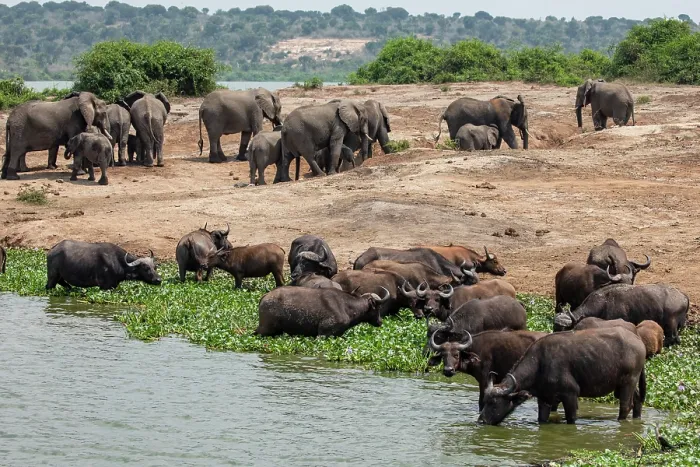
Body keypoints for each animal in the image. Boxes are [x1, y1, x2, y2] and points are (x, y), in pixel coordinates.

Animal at [255, 286, 390, 337]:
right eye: (378, 308)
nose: (380, 321)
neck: (346, 306)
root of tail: (265, 296)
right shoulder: (324, 334)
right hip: (265, 330)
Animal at [479, 327, 646, 425]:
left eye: (494, 402)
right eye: (485, 401)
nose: (481, 420)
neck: (540, 363)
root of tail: (638, 340)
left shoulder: (570, 395)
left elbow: (571, 418)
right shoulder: (545, 399)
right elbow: (541, 419)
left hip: (628, 382)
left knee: (625, 406)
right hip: (627, 384)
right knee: (637, 400)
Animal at [554, 283, 689, 345]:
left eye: (563, 329)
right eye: (554, 327)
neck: (604, 302)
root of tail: (683, 296)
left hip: (671, 323)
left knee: (674, 339)